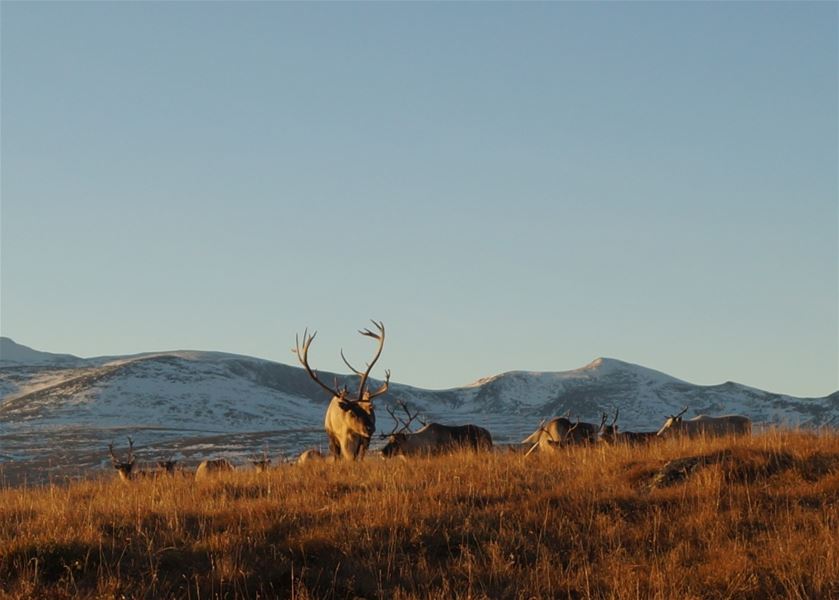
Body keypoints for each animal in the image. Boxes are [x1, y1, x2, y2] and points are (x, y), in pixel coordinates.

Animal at [294, 320, 390, 461]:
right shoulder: (334, 439)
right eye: (353, 413)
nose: (371, 428)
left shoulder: (358, 441)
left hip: (364, 441)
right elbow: (338, 458)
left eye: (364, 411)